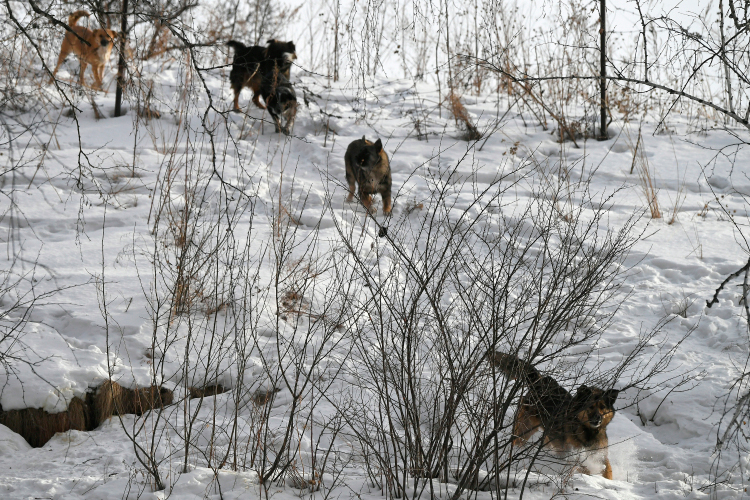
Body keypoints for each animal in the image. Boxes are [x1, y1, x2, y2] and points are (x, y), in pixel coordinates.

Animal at [490, 350, 620, 478]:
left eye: (603, 407)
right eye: (590, 406)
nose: (598, 419)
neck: (588, 431)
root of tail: (540, 381)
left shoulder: (600, 454)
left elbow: (608, 469)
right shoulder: (573, 454)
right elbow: (584, 467)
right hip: (524, 430)